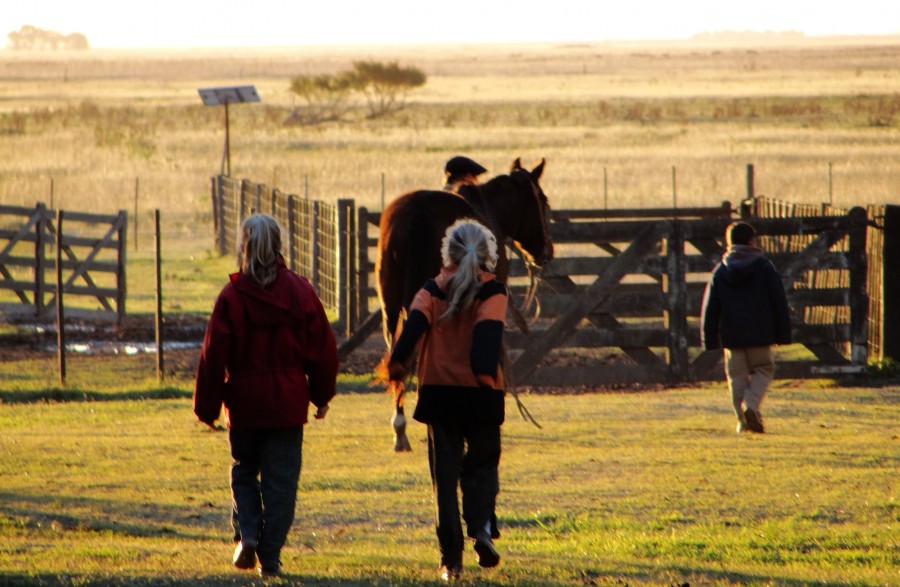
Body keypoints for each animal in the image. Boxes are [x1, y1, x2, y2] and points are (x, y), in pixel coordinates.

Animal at [374, 158, 556, 452]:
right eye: (543, 200)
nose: (547, 252)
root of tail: (417, 214)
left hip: (390, 306)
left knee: (397, 354)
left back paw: (400, 430)